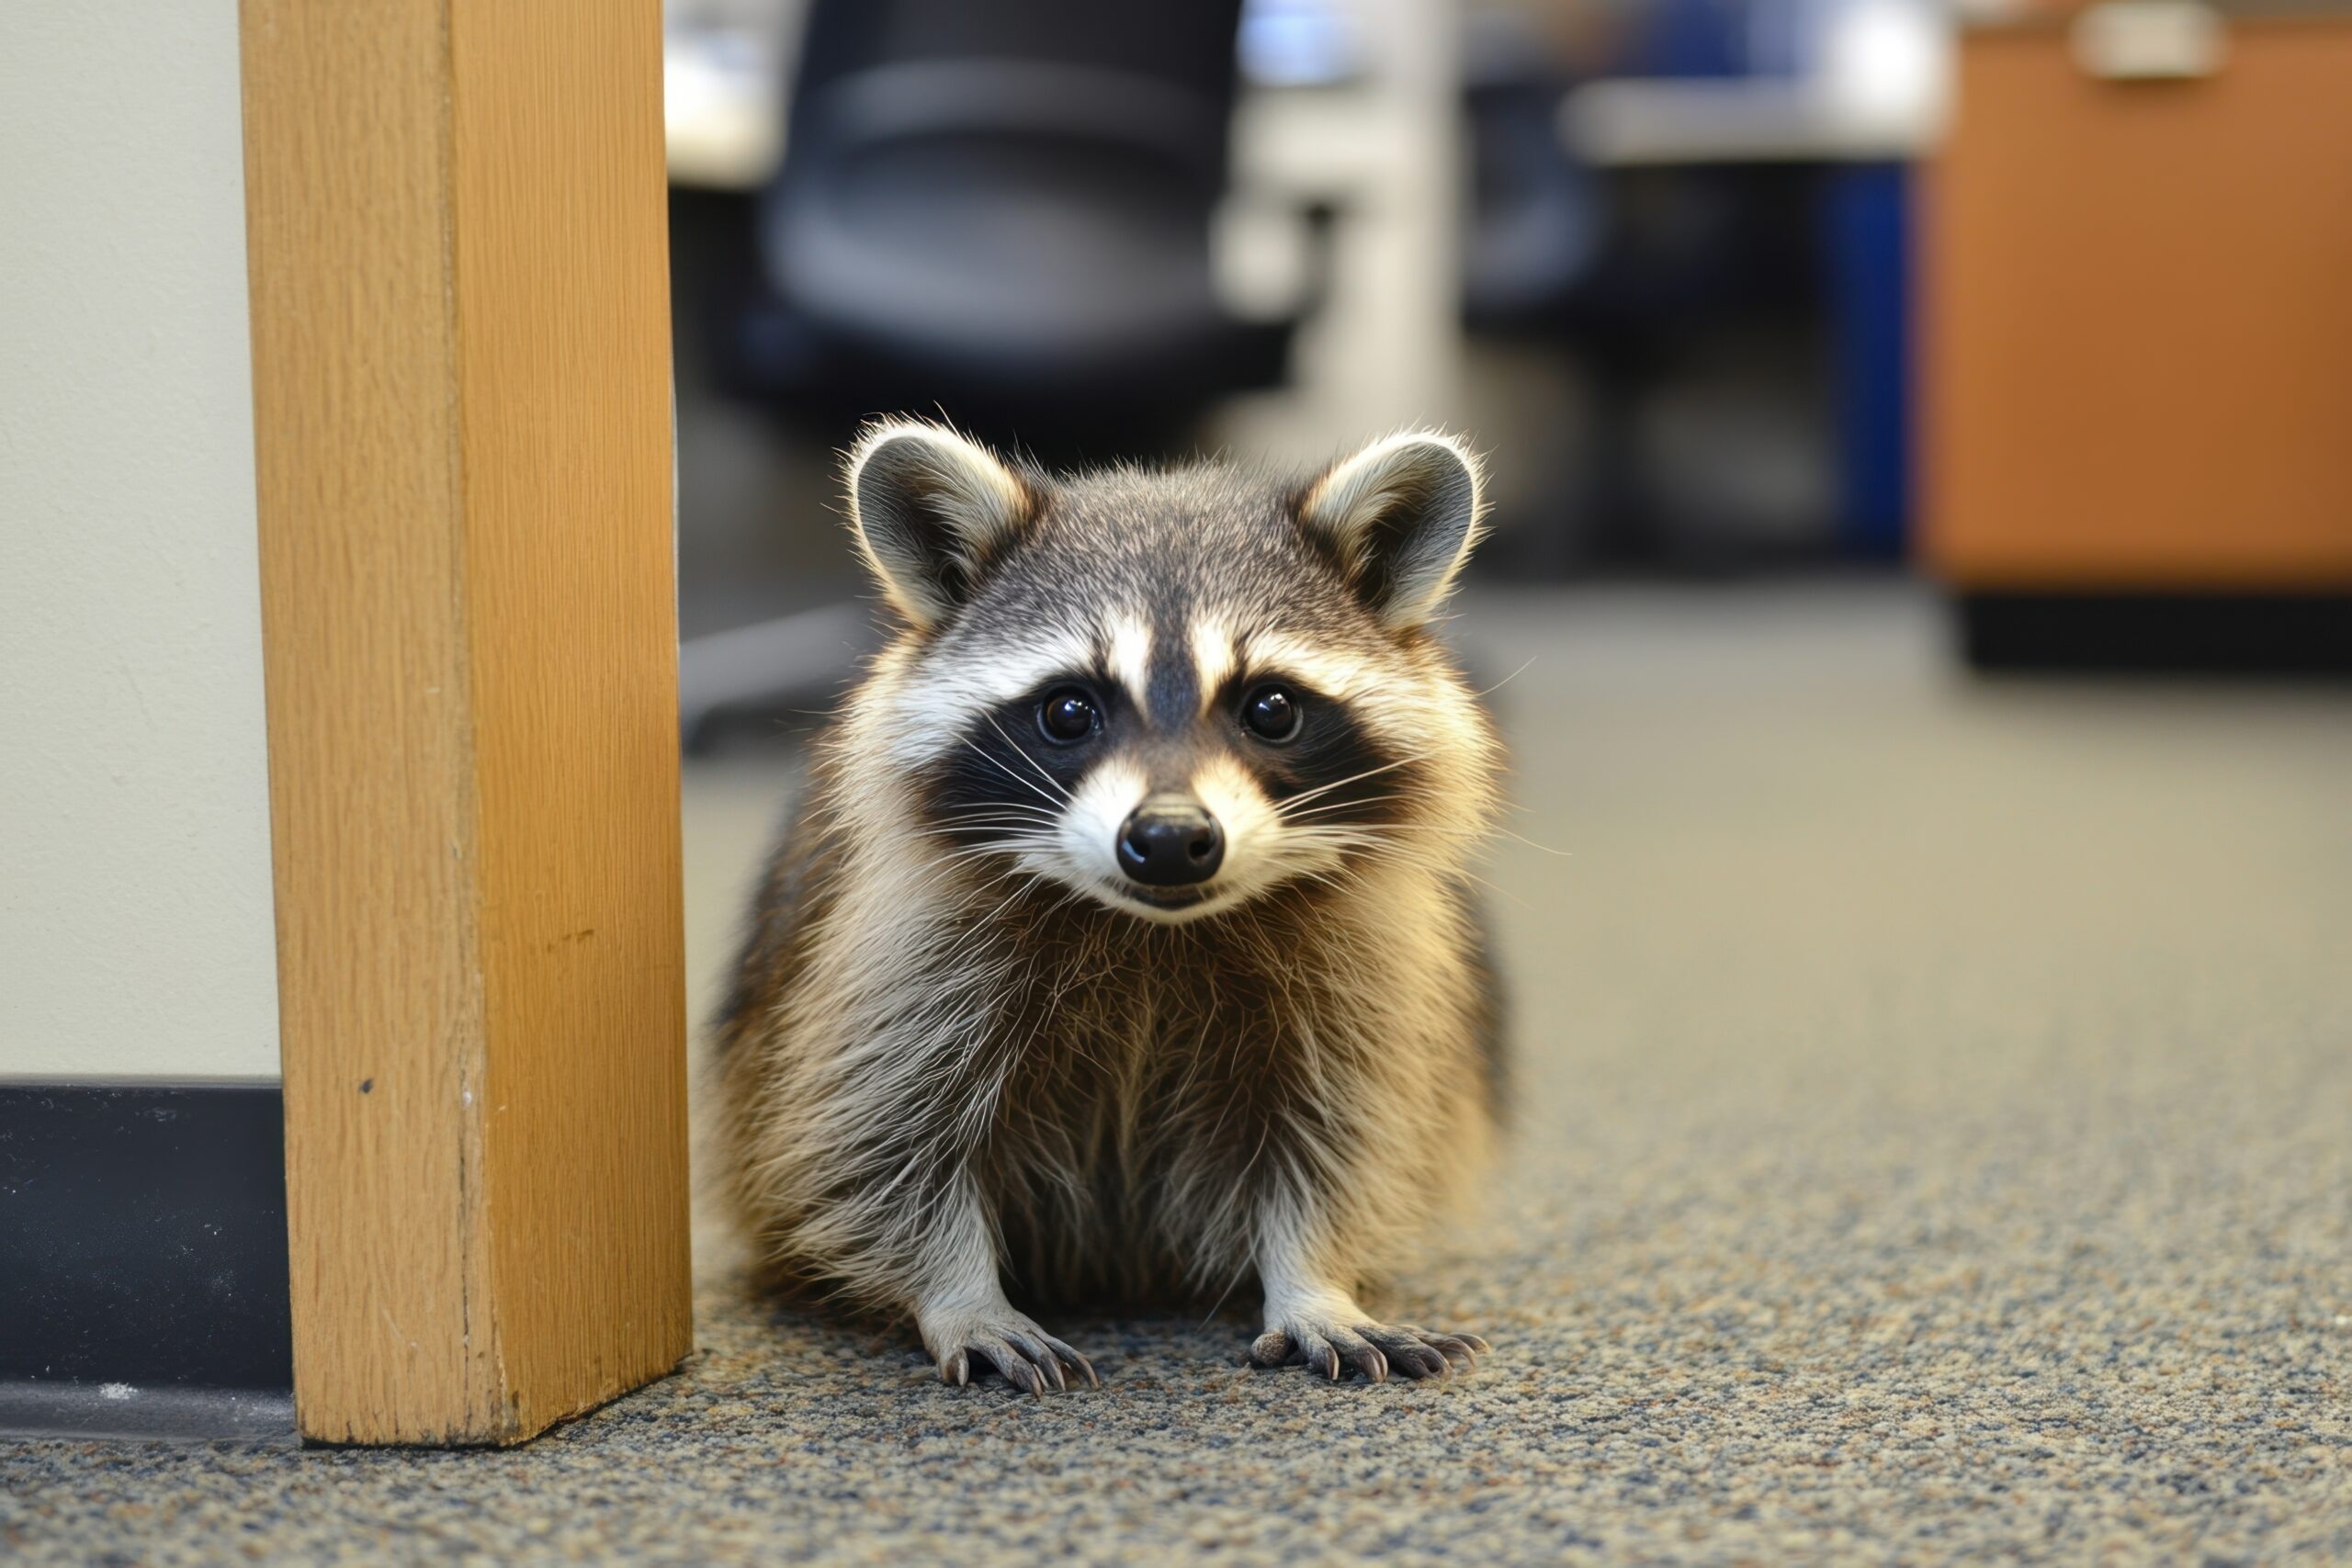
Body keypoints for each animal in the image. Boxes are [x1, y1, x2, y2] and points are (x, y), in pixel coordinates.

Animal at [713, 421, 1504, 1392]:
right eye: (1067, 710)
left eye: (1271, 707)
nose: (1167, 838)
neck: (1155, 929)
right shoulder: (907, 952)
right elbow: (881, 1138)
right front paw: (958, 1292)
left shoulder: (1355, 966)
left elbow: (1339, 1127)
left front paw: (1316, 1278)